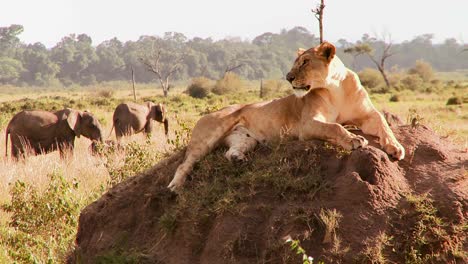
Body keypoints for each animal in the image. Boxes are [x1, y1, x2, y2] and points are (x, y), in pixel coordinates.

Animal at [167, 41, 402, 191]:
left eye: (305, 61)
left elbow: (383, 123)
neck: (335, 87)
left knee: (229, 151)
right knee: (186, 162)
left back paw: (238, 159)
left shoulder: (367, 115)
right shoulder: (307, 124)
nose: (288, 77)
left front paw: (396, 147)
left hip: (247, 139)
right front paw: (354, 139)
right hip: (210, 133)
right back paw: (175, 185)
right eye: (295, 62)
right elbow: (335, 127)